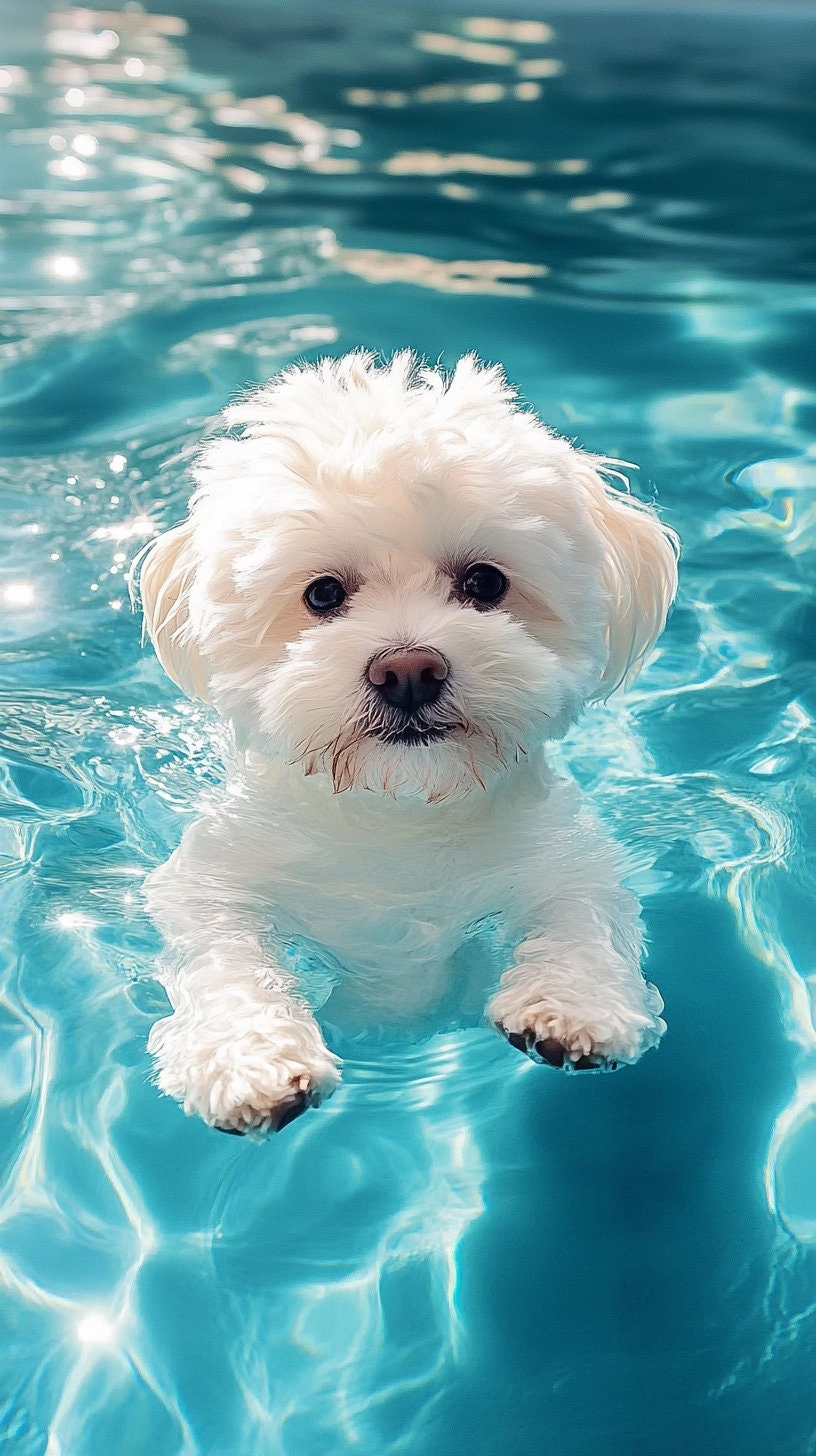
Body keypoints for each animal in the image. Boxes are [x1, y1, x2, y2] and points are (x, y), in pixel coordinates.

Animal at [136, 346, 679, 1129]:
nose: (409, 671)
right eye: (324, 594)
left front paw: (576, 1005)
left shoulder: (567, 853)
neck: (399, 814)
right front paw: (248, 1059)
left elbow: (582, 914)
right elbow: (227, 960)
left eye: (484, 583)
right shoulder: (214, 878)